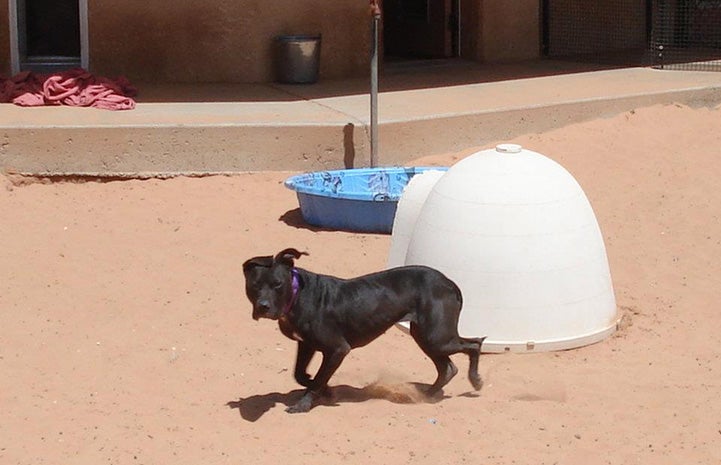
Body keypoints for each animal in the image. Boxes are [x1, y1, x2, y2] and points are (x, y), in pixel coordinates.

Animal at [242, 248, 484, 412]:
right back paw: (426, 395)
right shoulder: (306, 344)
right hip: (425, 336)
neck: (296, 295)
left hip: (436, 337)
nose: (263, 307)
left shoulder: (338, 349)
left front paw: (305, 403)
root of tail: (448, 282)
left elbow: (317, 378)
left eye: (277, 284)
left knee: (474, 344)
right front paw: (325, 390)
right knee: (448, 368)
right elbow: (301, 374)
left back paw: (475, 380)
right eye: (255, 286)